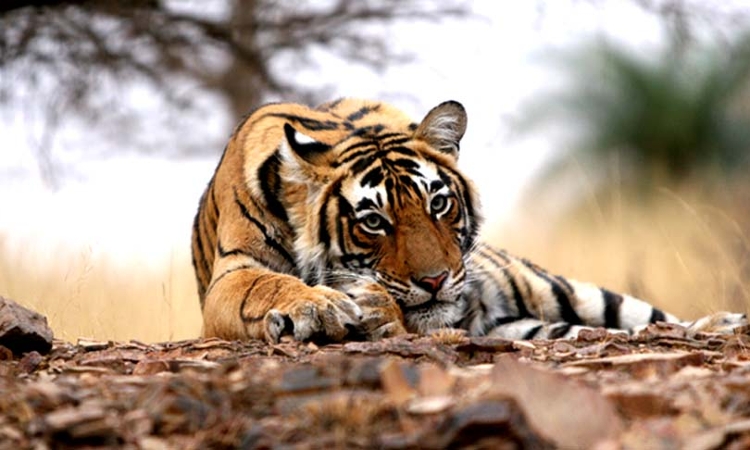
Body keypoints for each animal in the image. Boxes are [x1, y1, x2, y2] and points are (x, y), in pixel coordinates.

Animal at [191, 98, 746, 343]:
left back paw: (722, 322)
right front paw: (320, 306)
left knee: (644, 319)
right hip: (525, 324)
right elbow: (266, 286)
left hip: (558, 290)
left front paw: (373, 309)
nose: (436, 281)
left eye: (438, 204)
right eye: (373, 221)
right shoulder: (232, 275)